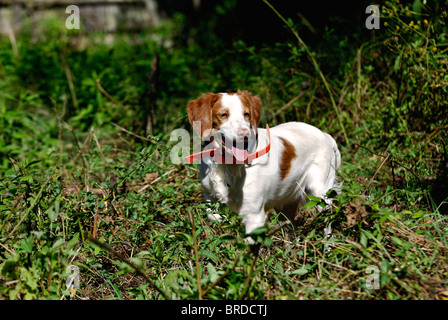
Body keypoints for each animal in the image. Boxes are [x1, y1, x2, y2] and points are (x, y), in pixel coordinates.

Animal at [186, 89, 340, 240]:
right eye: (223, 115)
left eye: (246, 114)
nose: (245, 135)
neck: (227, 164)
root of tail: (326, 135)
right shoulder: (209, 194)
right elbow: (213, 215)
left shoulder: (254, 216)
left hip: (319, 193)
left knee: (327, 225)